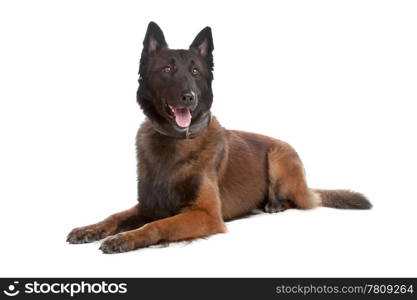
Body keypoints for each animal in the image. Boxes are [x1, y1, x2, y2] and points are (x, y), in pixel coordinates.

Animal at [67, 22, 370, 254]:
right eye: (167, 70)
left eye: (195, 71)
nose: (189, 97)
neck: (174, 143)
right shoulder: (148, 204)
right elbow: (115, 216)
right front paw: (90, 229)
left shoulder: (206, 215)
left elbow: (158, 225)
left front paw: (124, 238)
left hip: (278, 156)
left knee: (298, 199)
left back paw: (274, 204)